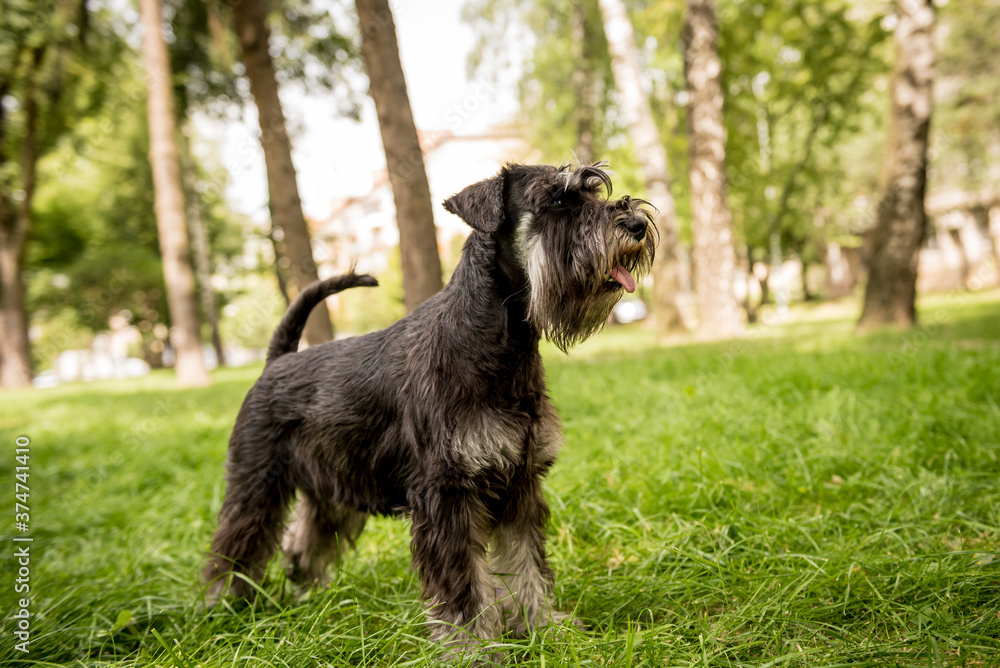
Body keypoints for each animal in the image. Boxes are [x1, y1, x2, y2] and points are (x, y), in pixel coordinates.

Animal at [204, 162, 656, 652]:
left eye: (594, 191)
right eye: (554, 200)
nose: (635, 223)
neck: (499, 343)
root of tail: (277, 360)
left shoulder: (518, 485)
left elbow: (526, 566)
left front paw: (544, 628)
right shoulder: (445, 493)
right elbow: (463, 581)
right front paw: (472, 646)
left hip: (333, 488)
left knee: (303, 541)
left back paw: (305, 593)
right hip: (257, 484)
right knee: (235, 545)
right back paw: (223, 606)